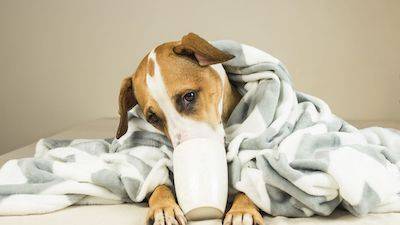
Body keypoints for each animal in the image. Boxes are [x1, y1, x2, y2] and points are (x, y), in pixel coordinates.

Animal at [115, 33, 266, 225]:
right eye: (153, 118)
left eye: (189, 96)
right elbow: (159, 184)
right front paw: (164, 207)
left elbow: (251, 185)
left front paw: (243, 210)